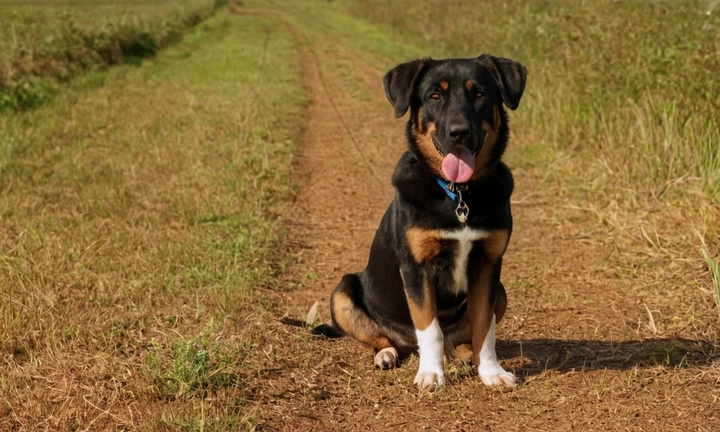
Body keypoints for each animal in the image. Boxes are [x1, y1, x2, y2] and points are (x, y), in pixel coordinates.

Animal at [312, 54, 524, 392]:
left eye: (479, 94)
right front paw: (431, 374)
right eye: (434, 95)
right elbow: (429, 328)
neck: (458, 195)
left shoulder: (489, 264)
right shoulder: (416, 267)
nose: (458, 132)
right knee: (384, 338)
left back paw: (467, 356)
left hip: (500, 292)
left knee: (460, 341)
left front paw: (491, 371)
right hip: (342, 292)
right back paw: (387, 354)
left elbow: (484, 325)